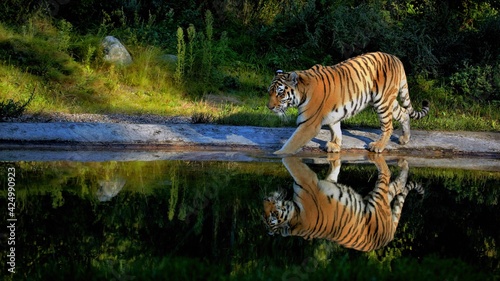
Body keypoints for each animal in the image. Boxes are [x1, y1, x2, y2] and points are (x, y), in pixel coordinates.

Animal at [264, 154, 424, 250]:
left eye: (272, 214)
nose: (265, 200)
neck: (295, 218)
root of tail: (388, 238)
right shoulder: (308, 181)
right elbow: (288, 160)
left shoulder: (316, 182)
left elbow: (333, 168)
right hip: (379, 200)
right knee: (390, 177)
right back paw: (397, 161)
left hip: (377, 200)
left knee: (397, 185)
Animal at [268, 51, 428, 154]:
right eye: (269, 92)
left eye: (280, 93)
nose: (269, 107)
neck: (303, 92)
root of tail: (396, 58)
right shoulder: (333, 113)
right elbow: (335, 129)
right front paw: (335, 145)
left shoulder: (308, 124)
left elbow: (292, 143)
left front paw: (278, 155)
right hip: (389, 101)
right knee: (404, 113)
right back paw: (405, 139)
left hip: (382, 102)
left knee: (388, 126)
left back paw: (378, 146)